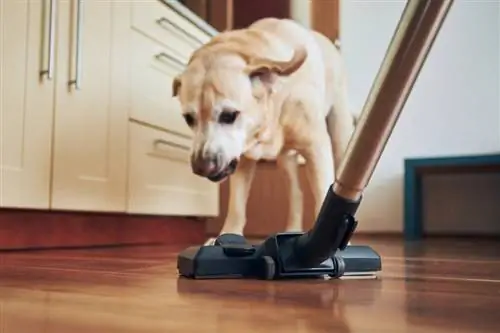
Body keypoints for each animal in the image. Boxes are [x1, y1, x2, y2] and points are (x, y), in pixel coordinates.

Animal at [172, 18, 356, 243]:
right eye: (189, 118)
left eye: (229, 115)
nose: (201, 167)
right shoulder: (243, 161)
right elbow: (237, 205)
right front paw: (227, 236)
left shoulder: (316, 149)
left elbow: (323, 195)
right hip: (286, 161)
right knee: (296, 194)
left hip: (340, 136)